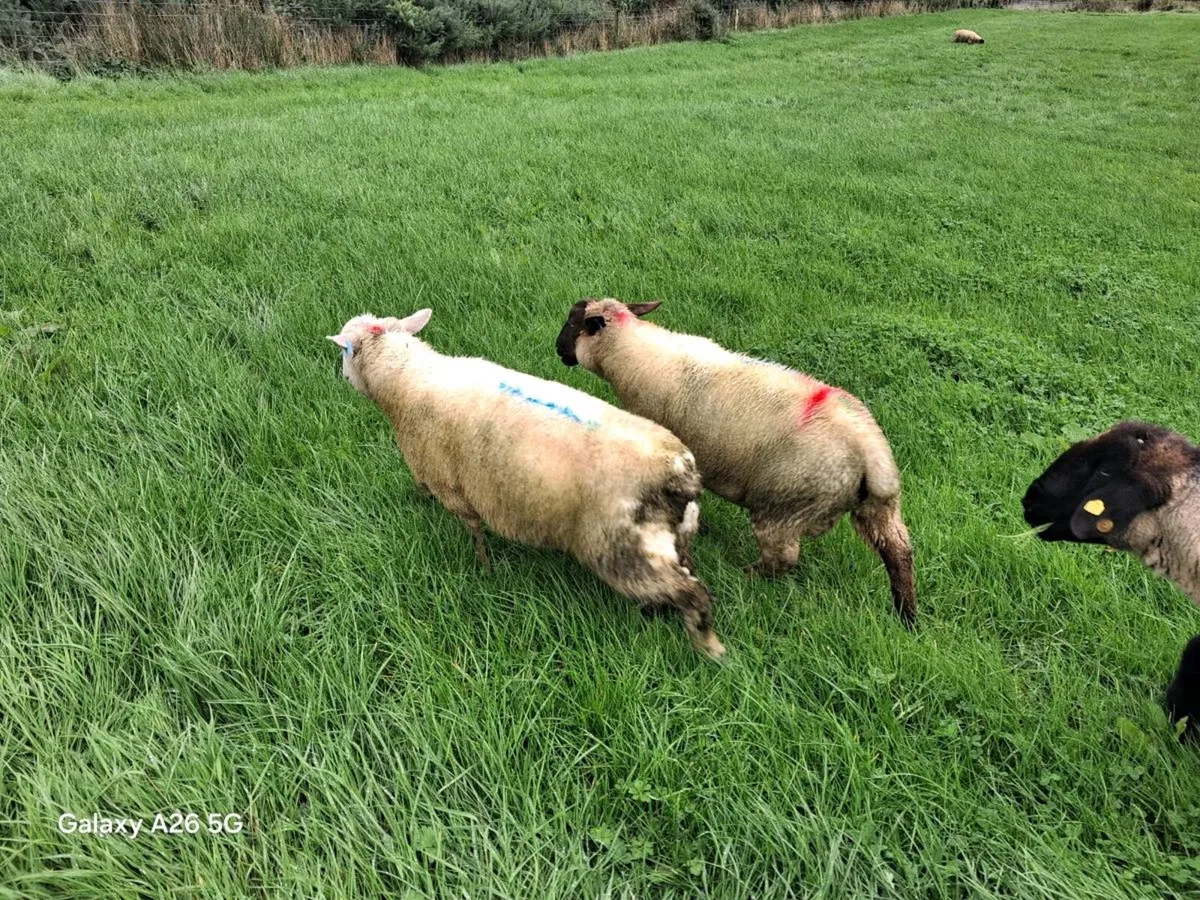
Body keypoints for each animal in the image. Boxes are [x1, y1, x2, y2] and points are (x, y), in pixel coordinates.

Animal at [327, 309, 725, 658]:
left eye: (344, 350)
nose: (341, 377)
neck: (406, 378)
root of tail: (680, 472)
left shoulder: (450, 486)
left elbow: (474, 531)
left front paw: (484, 570)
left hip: (622, 550)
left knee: (693, 594)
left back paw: (710, 647)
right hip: (673, 537)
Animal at [555, 298, 917, 626]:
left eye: (572, 323)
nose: (558, 349)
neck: (631, 352)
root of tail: (871, 450)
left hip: (784, 503)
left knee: (782, 556)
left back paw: (746, 576)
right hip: (880, 507)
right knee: (899, 550)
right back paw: (906, 613)